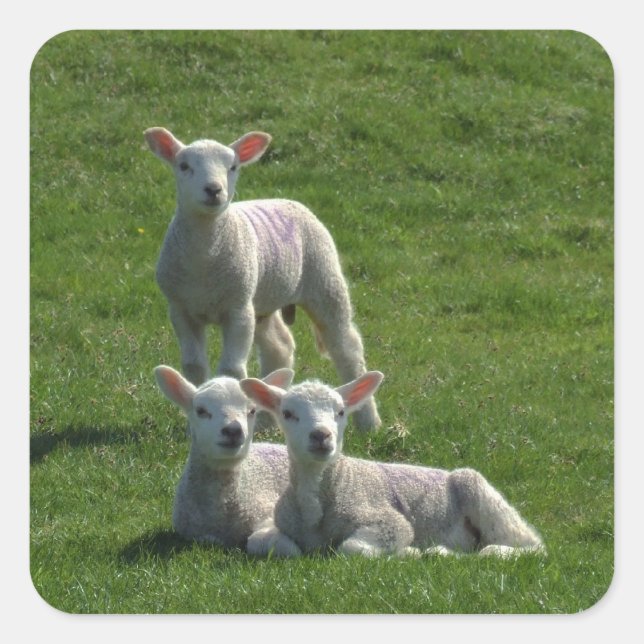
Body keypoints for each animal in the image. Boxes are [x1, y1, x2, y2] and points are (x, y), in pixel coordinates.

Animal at [144, 127, 381, 430]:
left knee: (347, 348)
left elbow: (232, 369)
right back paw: (268, 420)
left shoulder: (238, 308)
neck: (205, 259)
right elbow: (193, 366)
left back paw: (369, 423)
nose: (214, 190)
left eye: (232, 167)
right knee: (279, 347)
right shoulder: (181, 309)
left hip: (324, 281)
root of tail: (286, 200)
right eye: (184, 166)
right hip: (263, 303)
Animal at [240, 372, 546, 559]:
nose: (321, 436)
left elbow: (352, 547)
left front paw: (406, 553)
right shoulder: (274, 525)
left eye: (341, 412)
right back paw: (442, 552)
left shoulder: (389, 521)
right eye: (288, 413)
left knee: (530, 546)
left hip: (480, 492)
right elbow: (262, 543)